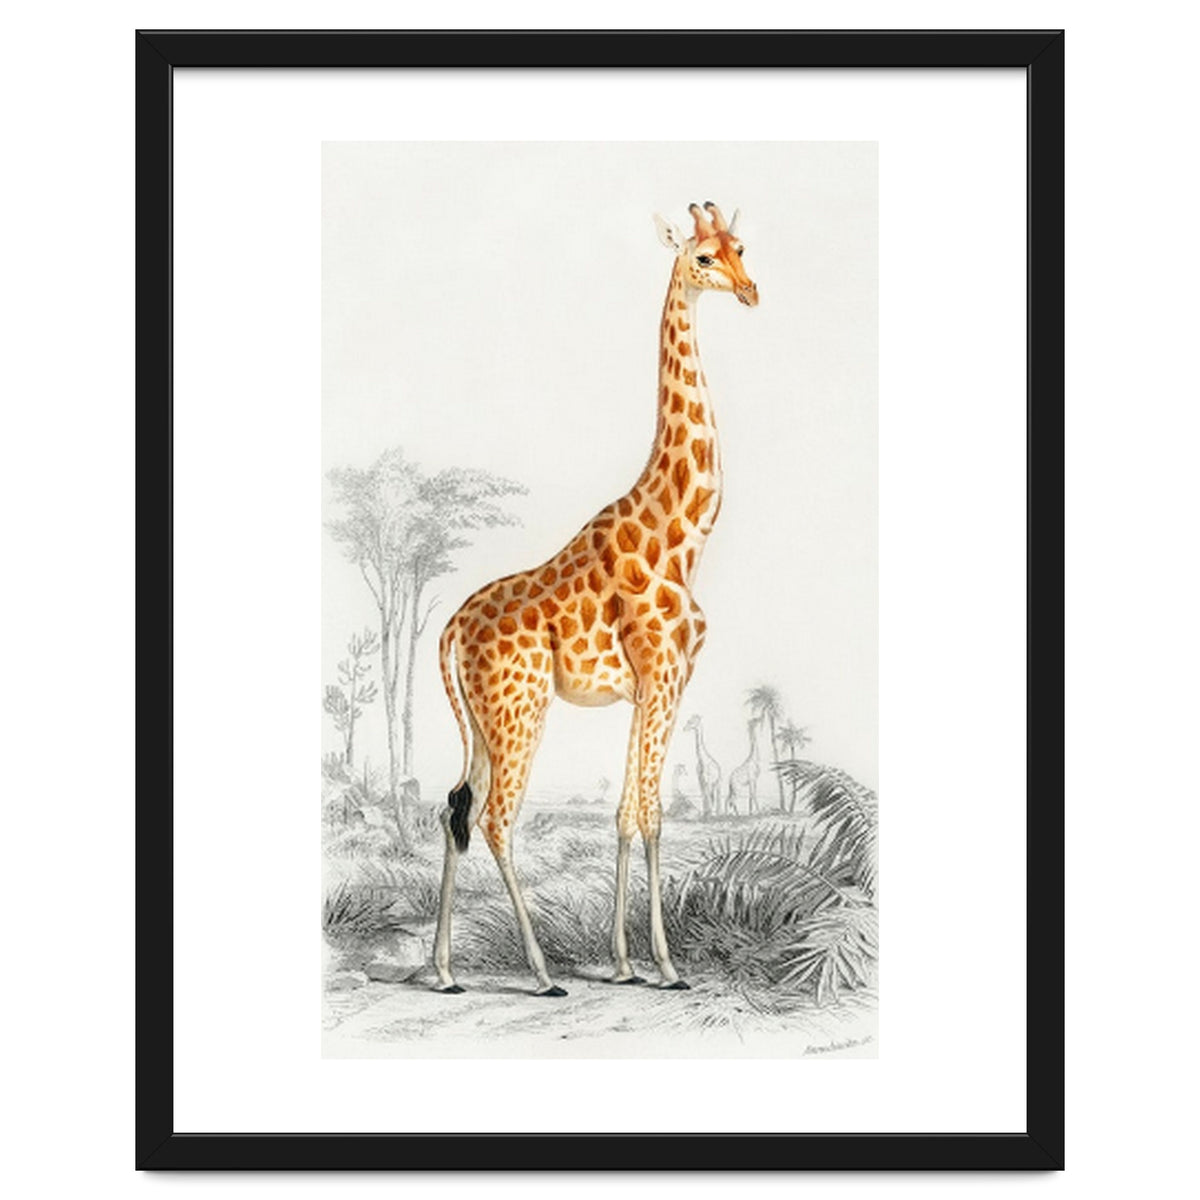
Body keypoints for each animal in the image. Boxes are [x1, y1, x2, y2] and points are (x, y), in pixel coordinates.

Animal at [433, 201, 758, 996]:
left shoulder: (651, 688)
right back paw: (543, 972)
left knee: (455, 807)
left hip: (484, 721)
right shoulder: (664, 677)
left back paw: (444, 971)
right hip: (519, 710)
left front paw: (625, 962)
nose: (750, 291)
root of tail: (450, 629)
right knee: (495, 819)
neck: (683, 535)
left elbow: (627, 812)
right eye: (702, 258)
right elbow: (652, 814)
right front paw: (666, 966)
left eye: (741, 247)